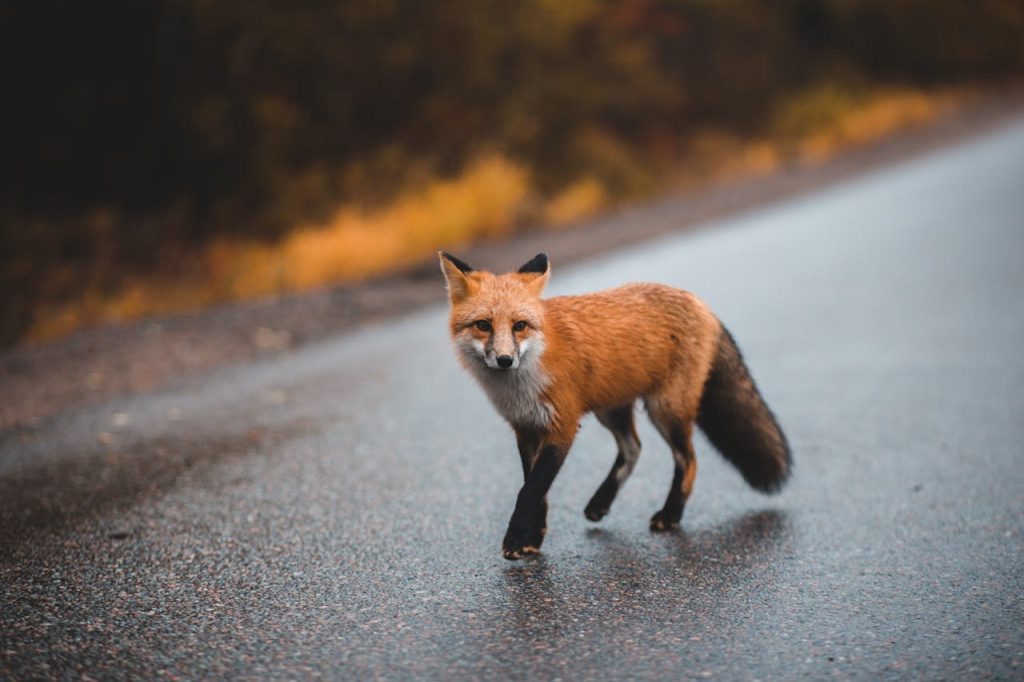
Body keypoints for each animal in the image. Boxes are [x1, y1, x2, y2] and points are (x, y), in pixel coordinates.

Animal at [439, 251, 791, 560]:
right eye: (483, 325)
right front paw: (533, 537)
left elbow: (530, 491)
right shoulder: (526, 428)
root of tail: (698, 302)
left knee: (688, 460)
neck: (524, 381)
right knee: (633, 448)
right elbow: (537, 491)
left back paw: (670, 514)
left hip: (665, 409)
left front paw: (515, 539)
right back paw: (601, 502)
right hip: (611, 409)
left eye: (519, 326)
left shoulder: (562, 426)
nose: (504, 360)